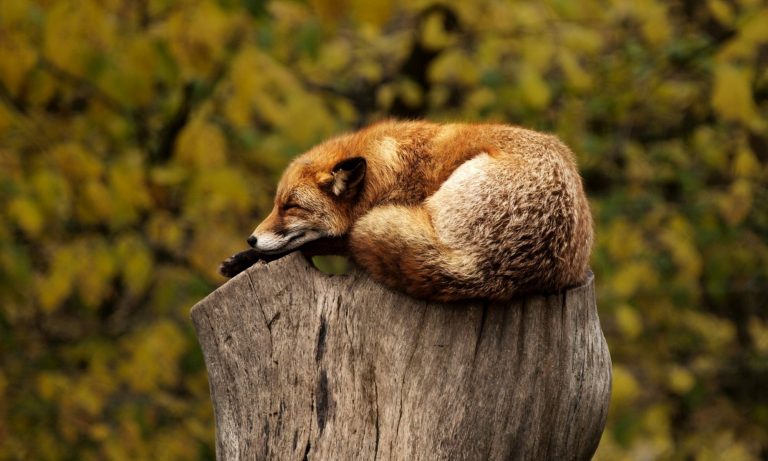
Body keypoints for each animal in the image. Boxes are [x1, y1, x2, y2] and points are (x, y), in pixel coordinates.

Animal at [220, 120, 593, 302]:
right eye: (276, 204)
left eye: (291, 207)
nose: (251, 239)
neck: (387, 171)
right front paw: (242, 258)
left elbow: (321, 242)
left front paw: (247, 258)